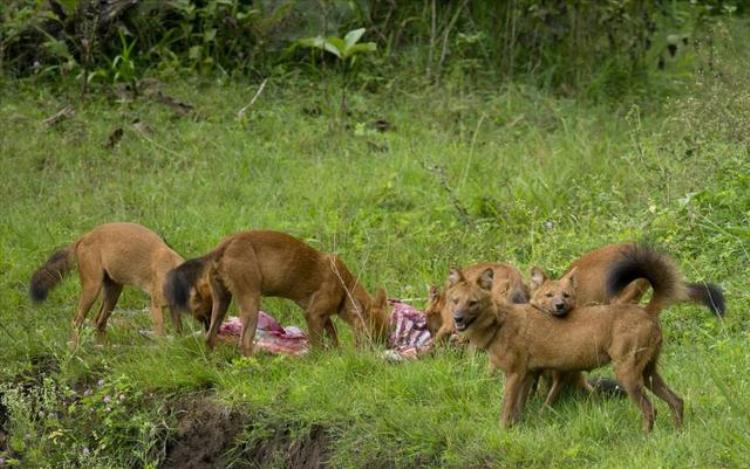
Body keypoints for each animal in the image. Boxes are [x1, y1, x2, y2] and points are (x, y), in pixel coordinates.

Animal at [29, 221, 203, 342]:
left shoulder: (173, 306)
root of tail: (84, 236)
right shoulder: (156, 305)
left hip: (114, 291)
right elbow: (161, 335)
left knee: (98, 321)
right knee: (76, 321)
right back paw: (74, 350)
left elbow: (179, 331)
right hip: (93, 287)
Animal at [164, 229, 388, 354]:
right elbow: (318, 341)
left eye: (387, 332)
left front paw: (336, 352)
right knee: (244, 342)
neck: (345, 286)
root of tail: (223, 245)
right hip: (251, 301)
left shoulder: (318, 312)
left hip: (221, 301)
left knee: (209, 336)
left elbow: (332, 333)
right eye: (371, 336)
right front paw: (320, 359)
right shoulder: (313, 313)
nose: (382, 348)